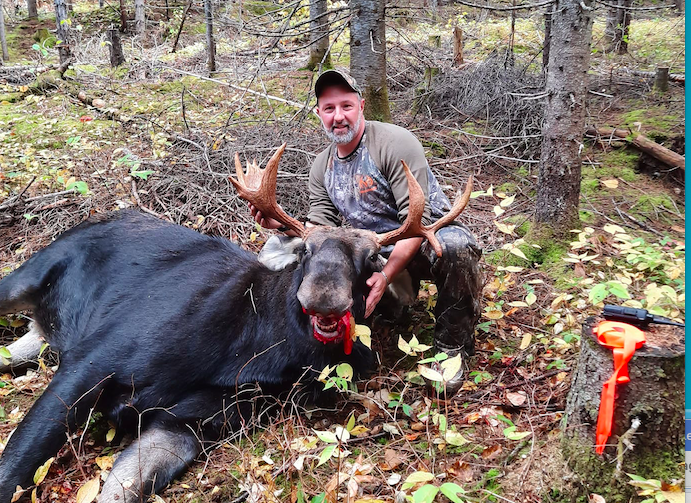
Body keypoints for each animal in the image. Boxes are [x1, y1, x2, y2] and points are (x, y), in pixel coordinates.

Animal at [0, 144, 470, 502]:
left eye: (371, 258)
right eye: (305, 252)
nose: (322, 299)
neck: (252, 347)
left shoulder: (191, 424)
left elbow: (120, 488)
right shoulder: (91, 360)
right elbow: (14, 466)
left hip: (41, 337)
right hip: (25, 278)